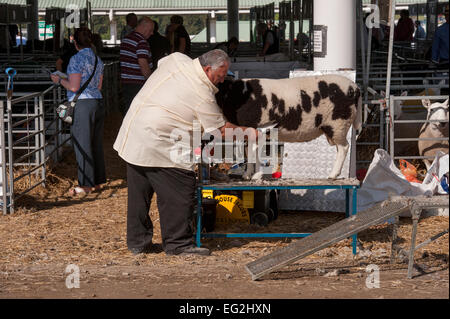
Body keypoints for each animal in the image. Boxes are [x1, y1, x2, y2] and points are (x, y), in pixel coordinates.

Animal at [215, 75, 362, 180]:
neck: (235, 94)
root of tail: (355, 87)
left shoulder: (258, 127)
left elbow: (254, 152)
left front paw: (256, 176)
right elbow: (249, 152)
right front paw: (247, 175)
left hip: (338, 124)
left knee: (344, 147)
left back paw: (333, 174)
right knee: (340, 148)